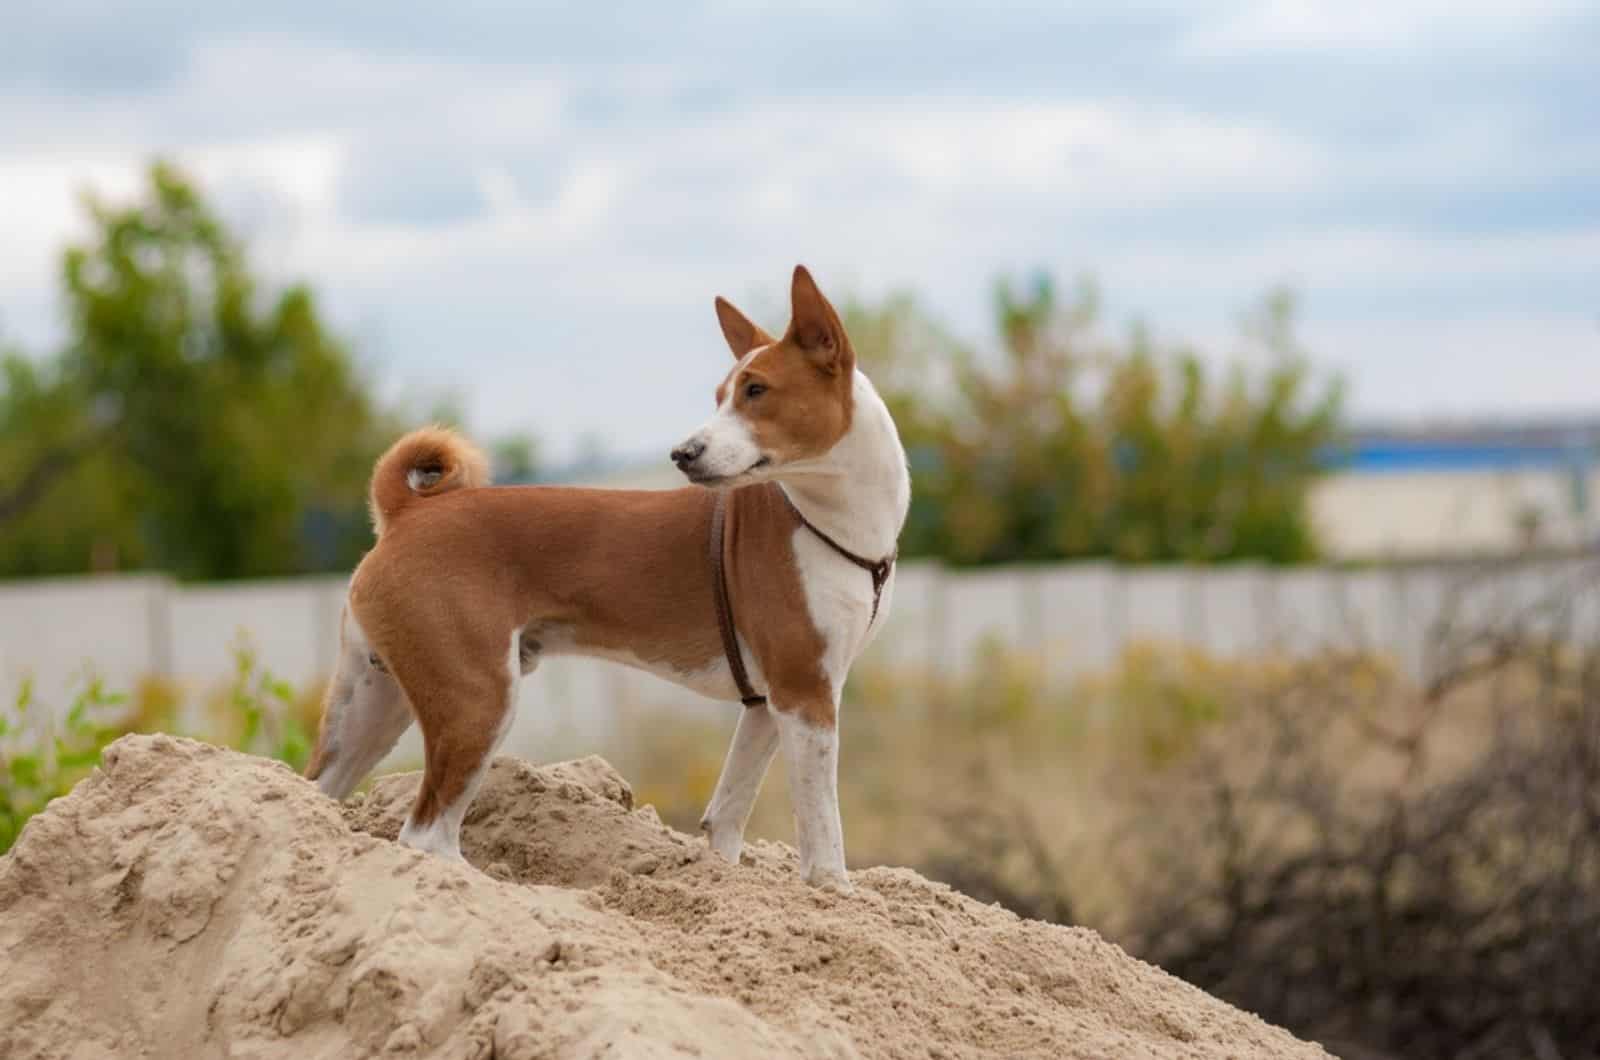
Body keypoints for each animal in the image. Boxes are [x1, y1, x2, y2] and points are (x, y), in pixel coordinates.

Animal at [305, 265, 908, 890]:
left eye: (756, 391)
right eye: (722, 396)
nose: (683, 452)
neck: (830, 520)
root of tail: (408, 512)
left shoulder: (770, 700)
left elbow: (728, 813)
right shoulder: (805, 693)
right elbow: (823, 829)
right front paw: (835, 891)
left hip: (373, 707)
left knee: (319, 793)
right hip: (478, 698)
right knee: (426, 835)